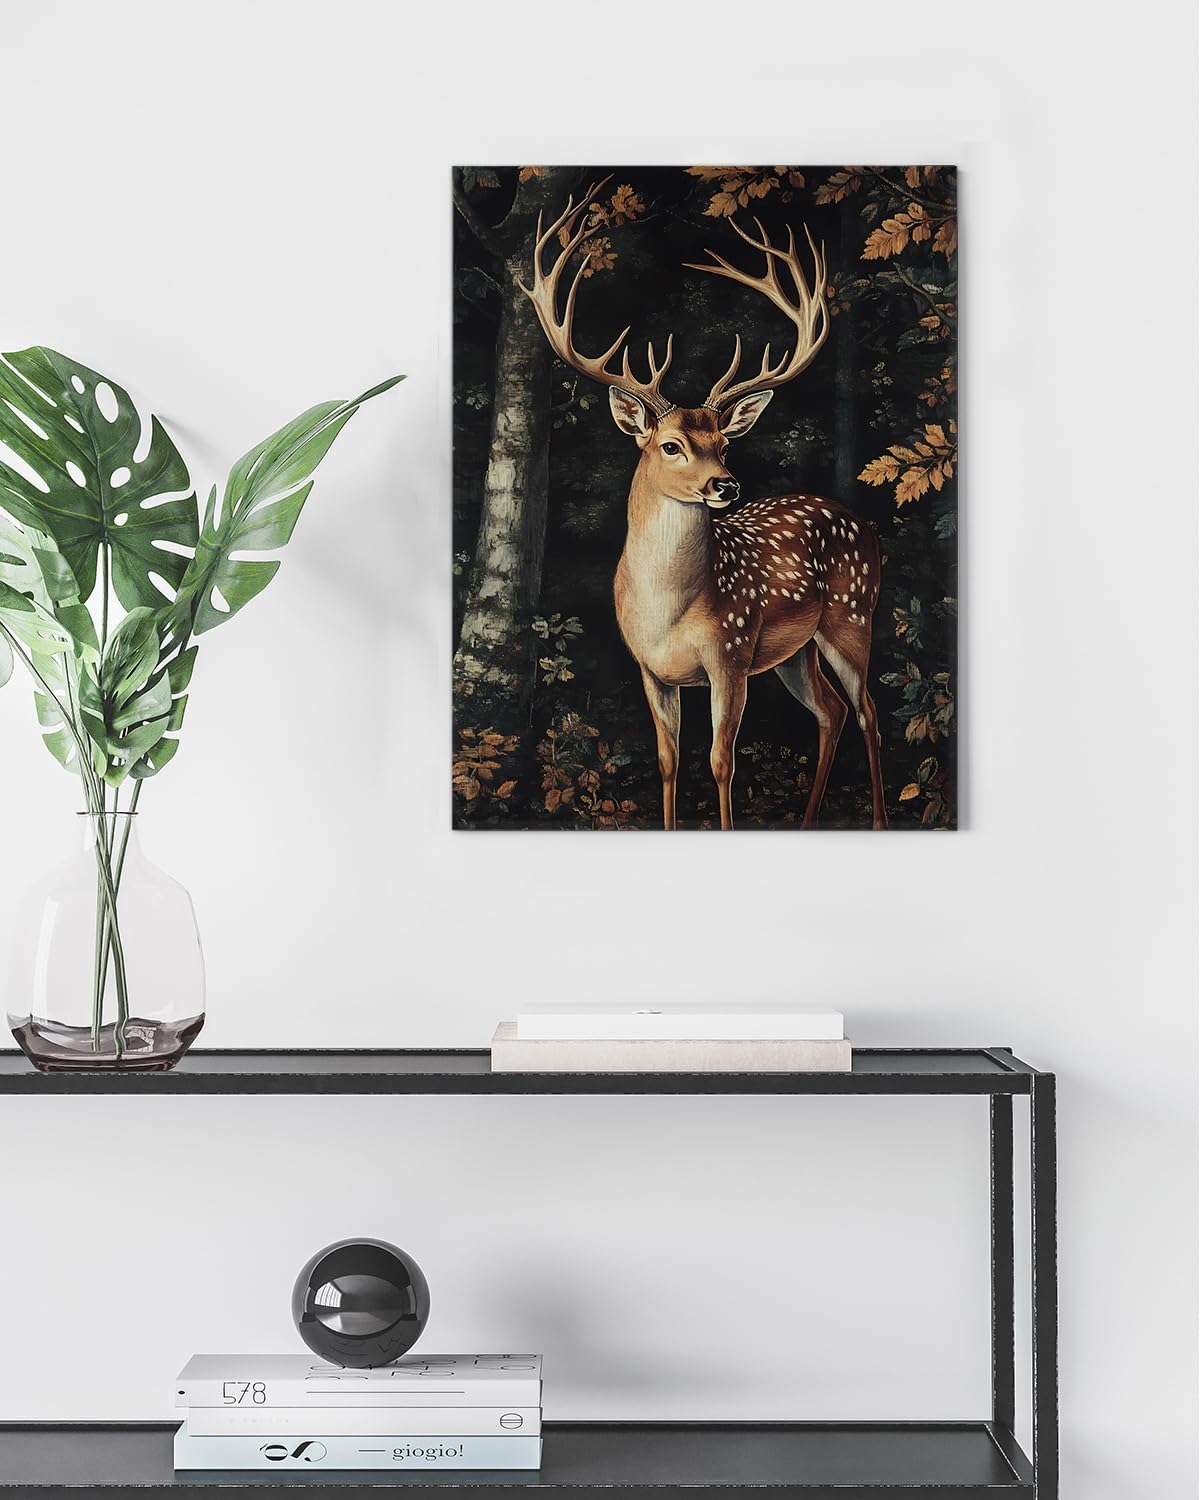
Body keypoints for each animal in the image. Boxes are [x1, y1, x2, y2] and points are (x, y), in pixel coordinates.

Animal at [520, 188, 887, 831]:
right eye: (672, 445)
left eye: (724, 444)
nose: (727, 485)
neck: (668, 611)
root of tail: (862, 524)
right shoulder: (649, 669)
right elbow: (667, 761)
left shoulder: (730, 656)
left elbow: (720, 761)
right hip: (796, 652)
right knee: (832, 712)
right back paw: (807, 821)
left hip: (852, 614)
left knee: (868, 713)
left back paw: (879, 822)